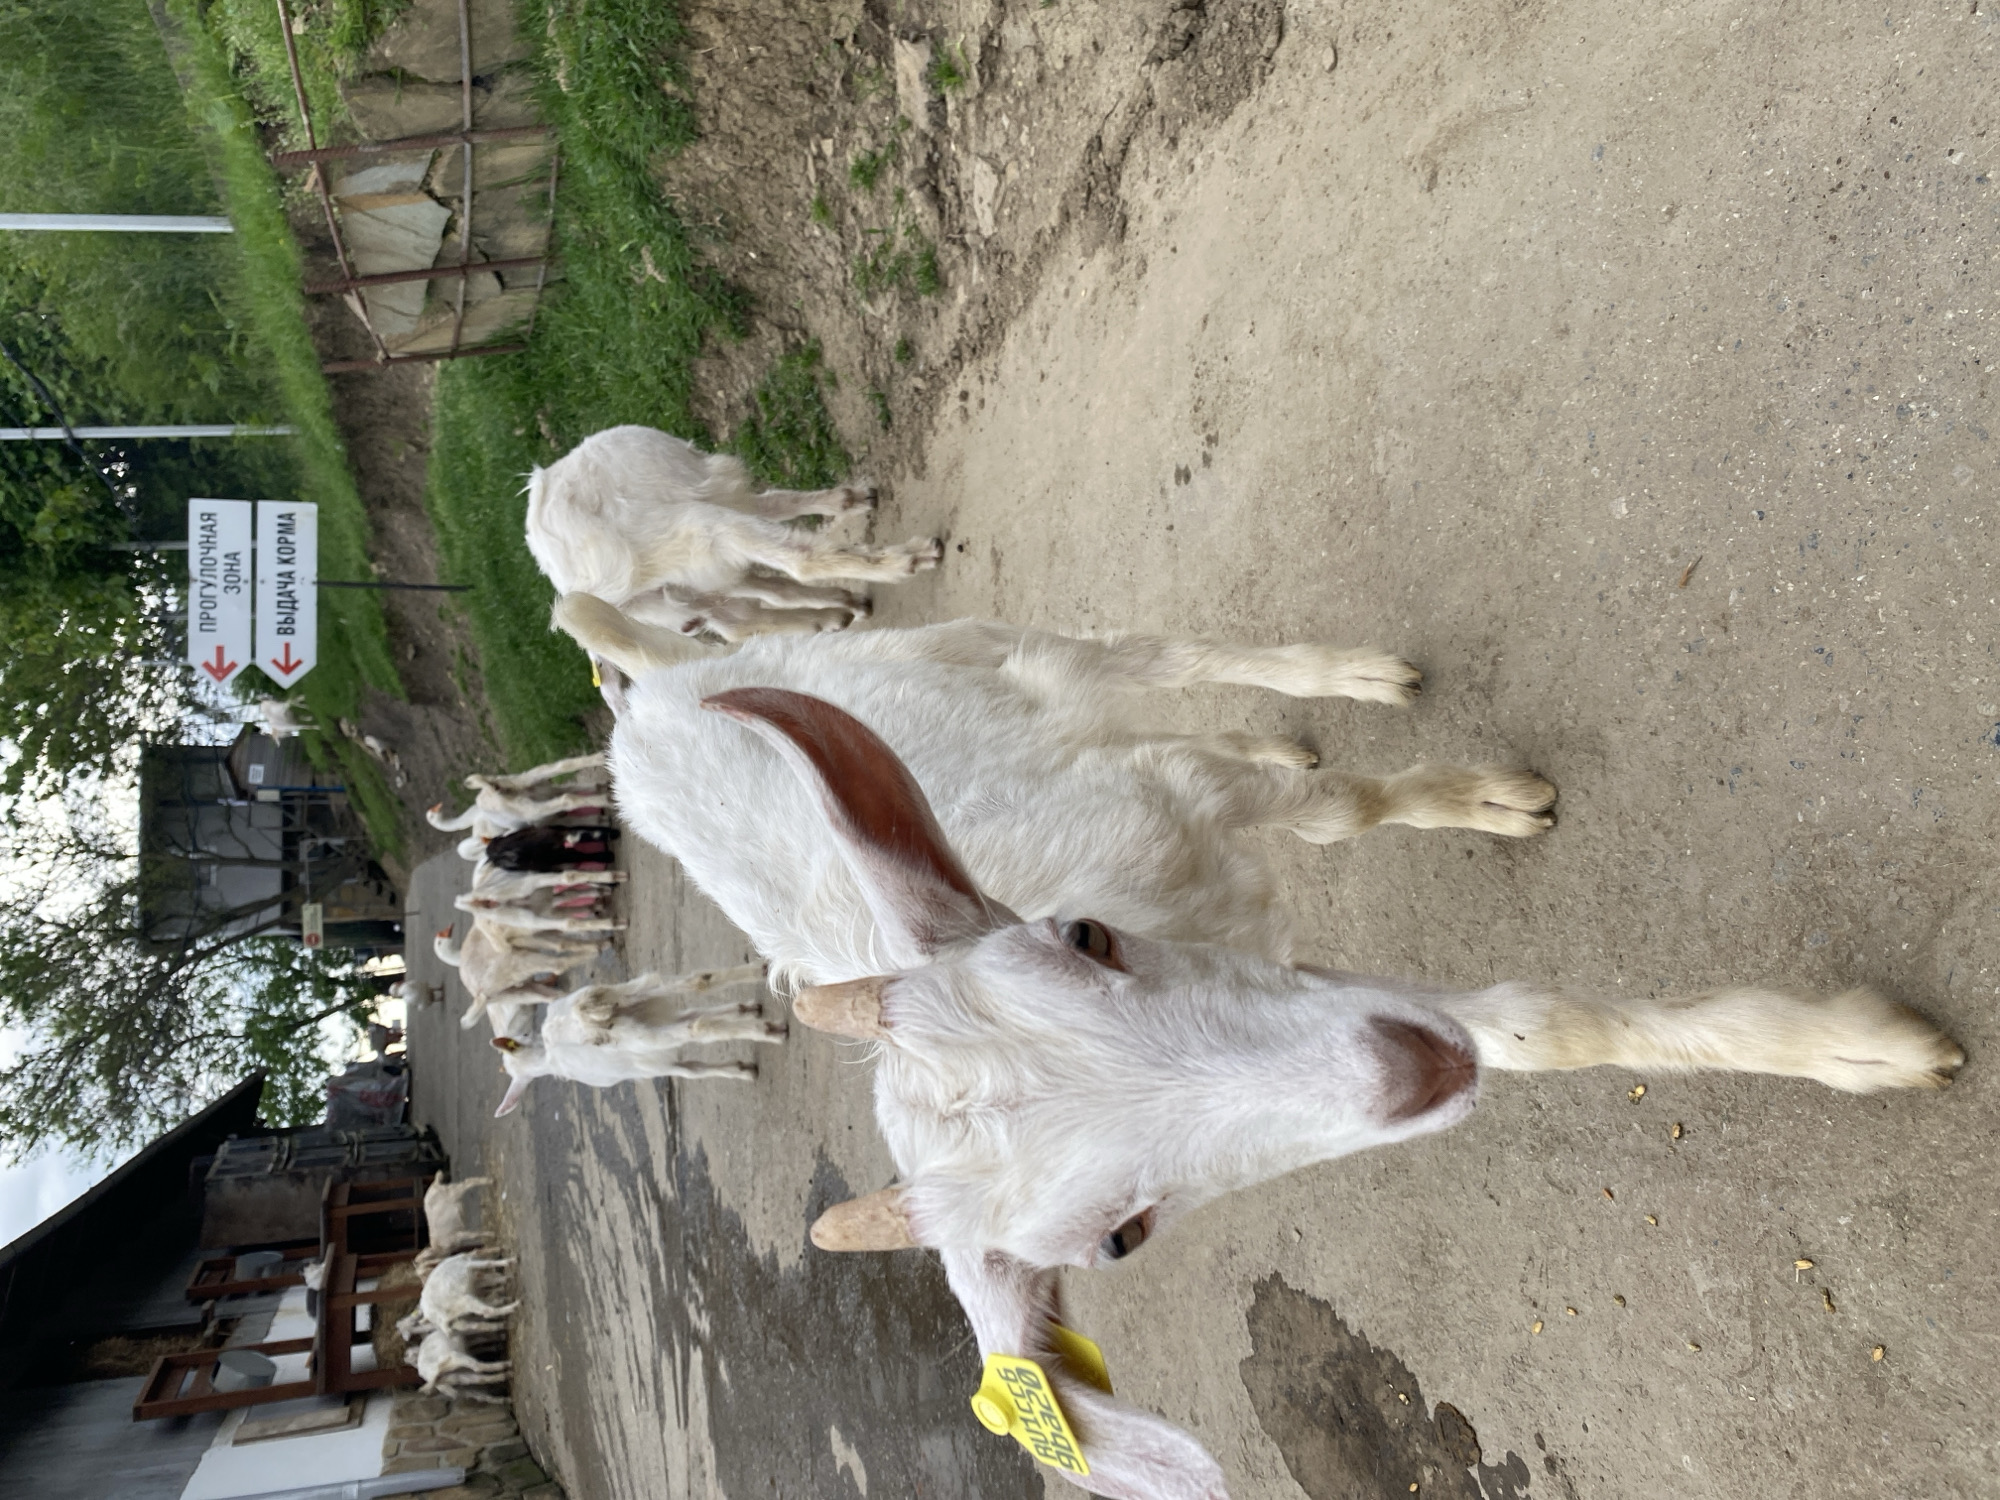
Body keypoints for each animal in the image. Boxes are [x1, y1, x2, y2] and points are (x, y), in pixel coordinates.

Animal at [492, 965, 782, 1114]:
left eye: (524, 1034)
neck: (546, 1057)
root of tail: (579, 1018)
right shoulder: (658, 1049)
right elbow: (695, 1062)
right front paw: (747, 1012)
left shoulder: (652, 1062)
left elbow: (694, 1067)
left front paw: (743, 1069)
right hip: (637, 997)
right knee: (698, 984)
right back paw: (762, 979)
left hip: (636, 1036)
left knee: (696, 1027)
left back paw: (770, 1032)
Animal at [524, 424, 943, 643]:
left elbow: (778, 507)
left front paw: (851, 499)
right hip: (701, 528)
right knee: (798, 562)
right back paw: (910, 560)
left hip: (684, 592)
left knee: (744, 617)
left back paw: (837, 613)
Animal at [559, 593, 1966, 1500]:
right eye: (1121, 1238)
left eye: (1084, 937)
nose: (1407, 1070)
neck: (1197, 915)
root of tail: (641, 702)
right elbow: (1516, 1023)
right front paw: (1857, 1050)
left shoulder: (1195, 812)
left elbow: (1342, 815)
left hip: (976, 652)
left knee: (1138, 656)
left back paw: (1345, 683)